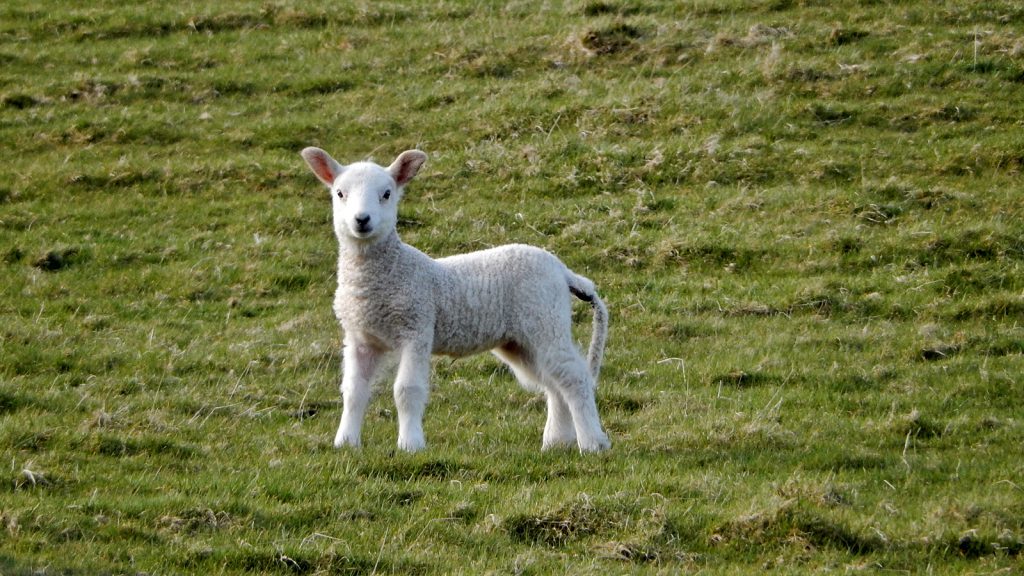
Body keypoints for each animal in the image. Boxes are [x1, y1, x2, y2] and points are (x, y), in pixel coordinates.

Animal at [299, 145, 610, 450]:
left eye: (386, 194)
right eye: (340, 193)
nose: (362, 220)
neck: (383, 275)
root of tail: (563, 271)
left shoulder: (417, 327)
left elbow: (407, 391)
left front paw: (410, 445)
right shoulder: (360, 338)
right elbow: (353, 391)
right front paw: (345, 443)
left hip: (546, 319)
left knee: (573, 377)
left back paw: (592, 442)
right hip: (520, 340)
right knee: (553, 382)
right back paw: (557, 442)